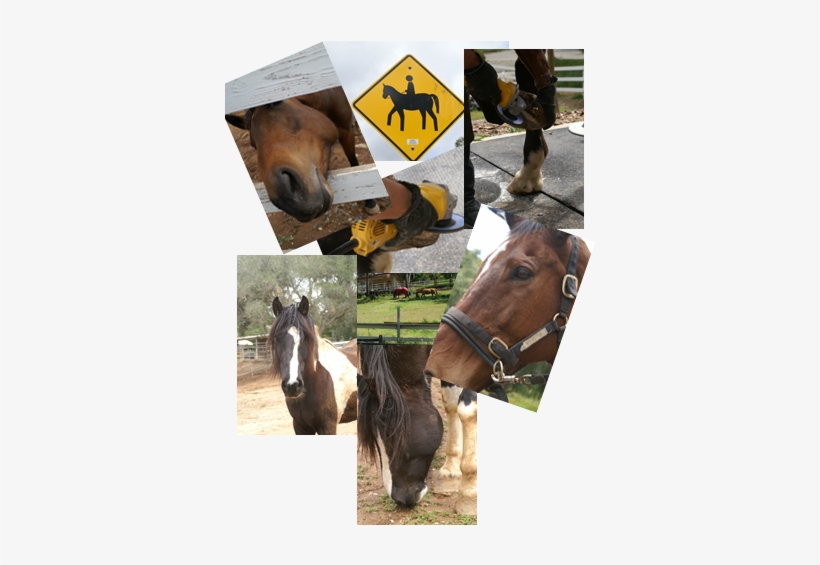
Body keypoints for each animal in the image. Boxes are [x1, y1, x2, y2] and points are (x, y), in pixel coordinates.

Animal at [358, 344, 477, 514]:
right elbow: (451, 402)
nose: (399, 499)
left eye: (393, 437)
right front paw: (450, 473)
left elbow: (467, 410)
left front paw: (469, 492)